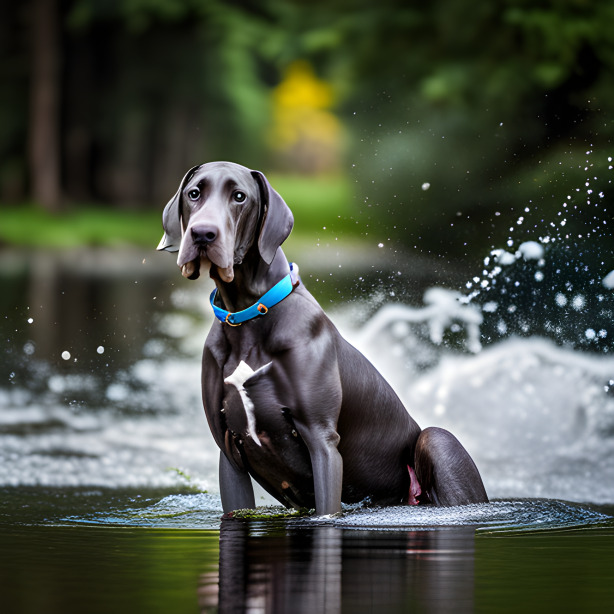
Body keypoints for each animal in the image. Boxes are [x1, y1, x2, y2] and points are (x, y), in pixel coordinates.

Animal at [159, 161, 490, 516]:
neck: (247, 316)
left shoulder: (322, 441)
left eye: (239, 197)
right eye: (194, 193)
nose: (203, 233)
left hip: (439, 442)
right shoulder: (229, 452)